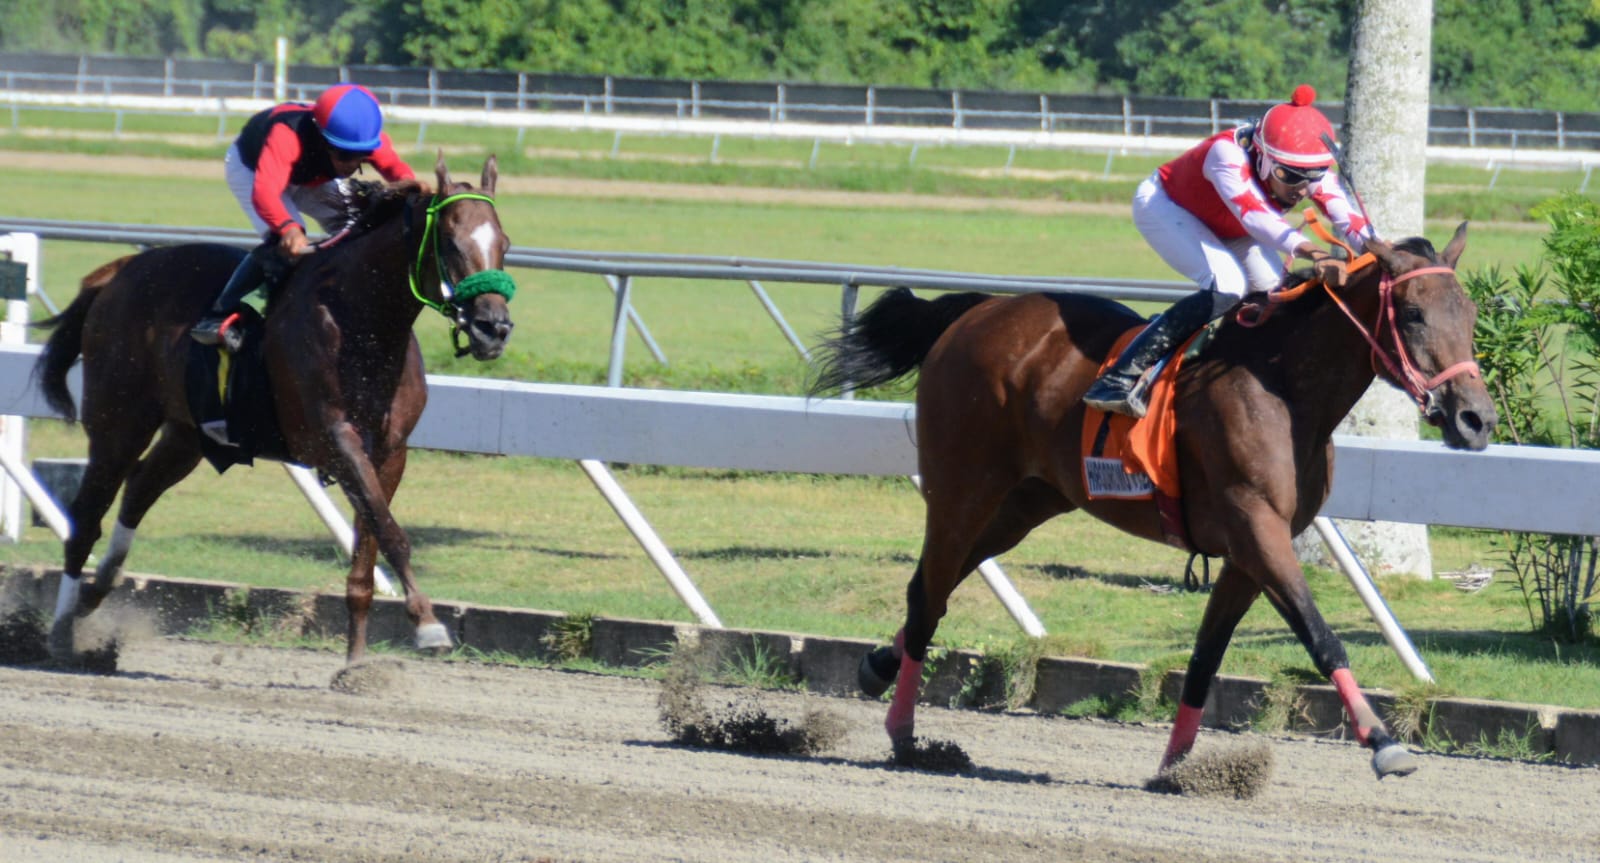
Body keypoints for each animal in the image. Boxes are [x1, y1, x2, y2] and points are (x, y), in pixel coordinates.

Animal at [31, 153, 514, 665]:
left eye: (504, 243)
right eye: (450, 242)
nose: (493, 328)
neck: (361, 320)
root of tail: (120, 270)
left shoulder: (389, 453)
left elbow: (370, 546)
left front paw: (356, 665)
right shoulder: (334, 441)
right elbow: (391, 532)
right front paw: (428, 625)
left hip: (188, 433)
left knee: (140, 488)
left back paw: (98, 589)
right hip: (117, 423)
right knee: (86, 517)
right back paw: (60, 631)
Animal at [808, 225, 1495, 779]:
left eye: (1468, 314)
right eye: (1412, 314)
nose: (1476, 420)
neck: (1282, 390)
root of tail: (978, 312)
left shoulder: (1248, 551)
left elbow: (1206, 656)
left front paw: (1176, 767)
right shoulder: (1257, 526)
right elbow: (1319, 633)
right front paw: (1383, 742)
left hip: (1029, 501)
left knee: (939, 583)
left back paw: (878, 666)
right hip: (962, 485)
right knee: (929, 591)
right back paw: (904, 735)